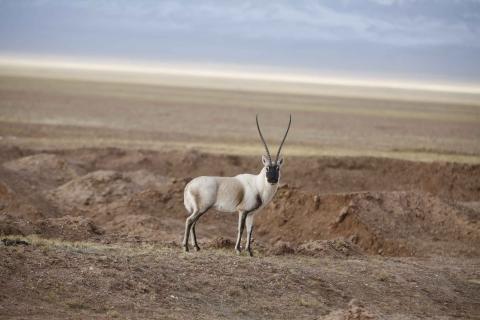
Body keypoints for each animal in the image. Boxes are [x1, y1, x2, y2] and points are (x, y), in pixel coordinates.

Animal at [182, 114, 290, 256]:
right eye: (267, 168)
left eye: (277, 168)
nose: (272, 180)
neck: (258, 185)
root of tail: (189, 185)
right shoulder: (242, 211)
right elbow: (241, 228)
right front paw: (238, 249)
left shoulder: (251, 214)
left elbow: (250, 229)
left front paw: (249, 251)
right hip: (202, 208)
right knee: (190, 221)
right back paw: (186, 247)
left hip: (199, 209)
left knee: (193, 223)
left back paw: (196, 247)